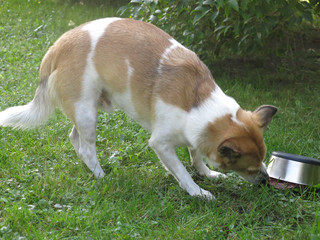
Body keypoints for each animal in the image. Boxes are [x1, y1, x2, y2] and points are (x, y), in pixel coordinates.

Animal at [0, 17, 276, 200]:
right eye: (250, 169)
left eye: (263, 162)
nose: (266, 181)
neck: (198, 101)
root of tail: (56, 47)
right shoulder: (161, 144)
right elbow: (181, 171)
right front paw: (197, 191)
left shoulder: (193, 135)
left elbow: (195, 155)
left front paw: (207, 174)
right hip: (86, 112)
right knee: (87, 147)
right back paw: (100, 175)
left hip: (87, 110)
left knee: (75, 139)